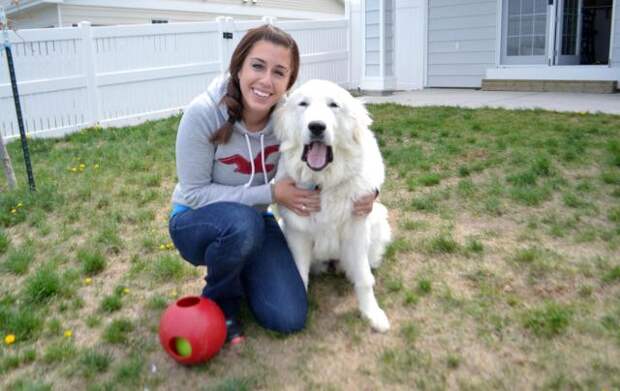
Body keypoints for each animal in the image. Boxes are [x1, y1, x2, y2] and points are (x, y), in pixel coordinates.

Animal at [272, 79, 390, 334]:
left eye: (333, 105)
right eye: (303, 104)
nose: (317, 127)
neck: (323, 184)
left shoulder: (356, 231)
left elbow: (364, 280)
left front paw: (372, 314)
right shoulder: (298, 234)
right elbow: (299, 275)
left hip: (377, 217)